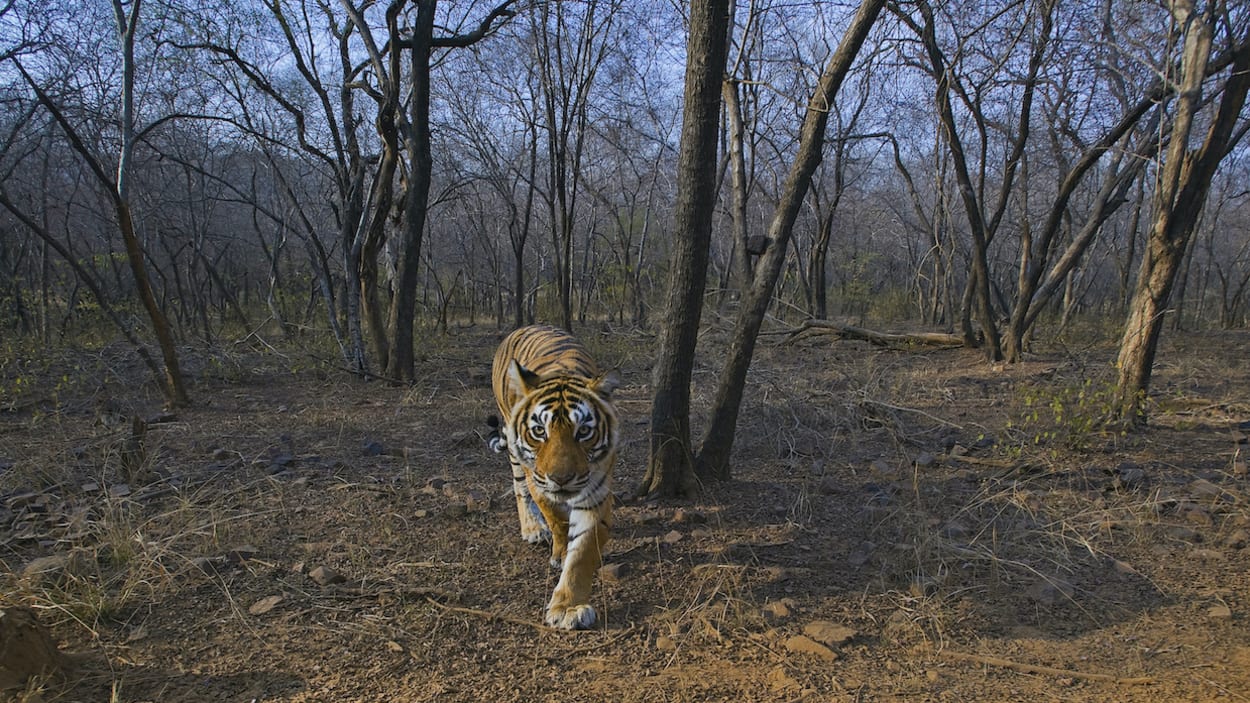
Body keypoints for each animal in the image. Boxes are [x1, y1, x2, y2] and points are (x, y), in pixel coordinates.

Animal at [490, 325, 622, 630]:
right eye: (540, 430)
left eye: (583, 431)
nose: (561, 478)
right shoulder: (539, 481)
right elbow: (556, 519)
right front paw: (559, 553)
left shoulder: (595, 493)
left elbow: (583, 551)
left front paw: (568, 607)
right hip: (514, 450)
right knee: (519, 488)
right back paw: (533, 528)